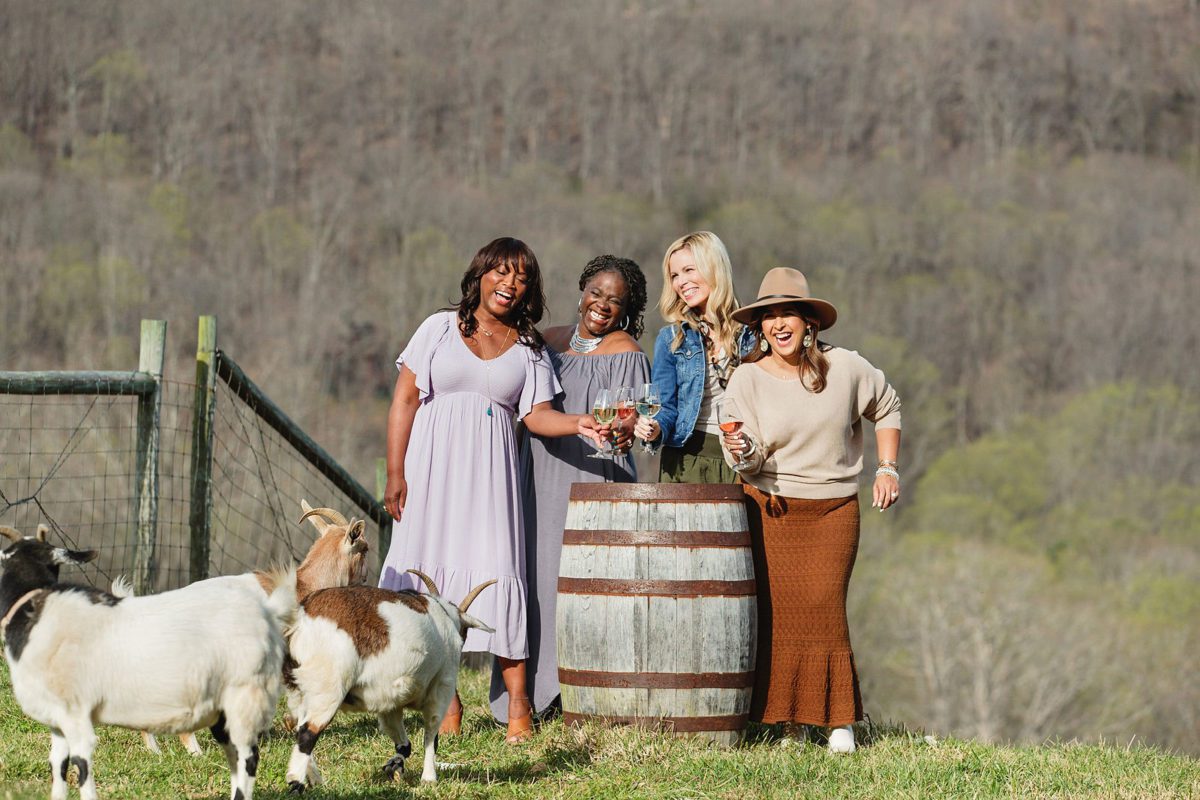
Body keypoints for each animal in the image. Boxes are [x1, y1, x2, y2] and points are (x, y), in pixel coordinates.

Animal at [283, 568, 494, 786]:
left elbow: (402, 742)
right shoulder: (442, 686)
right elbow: (431, 735)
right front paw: (429, 779)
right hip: (328, 689)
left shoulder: (390, 703)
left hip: (299, 693)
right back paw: (296, 783)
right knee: (307, 734)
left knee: (300, 729)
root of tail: (302, 618)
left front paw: (395, 767)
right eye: (465, 632)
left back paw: (316, 781)